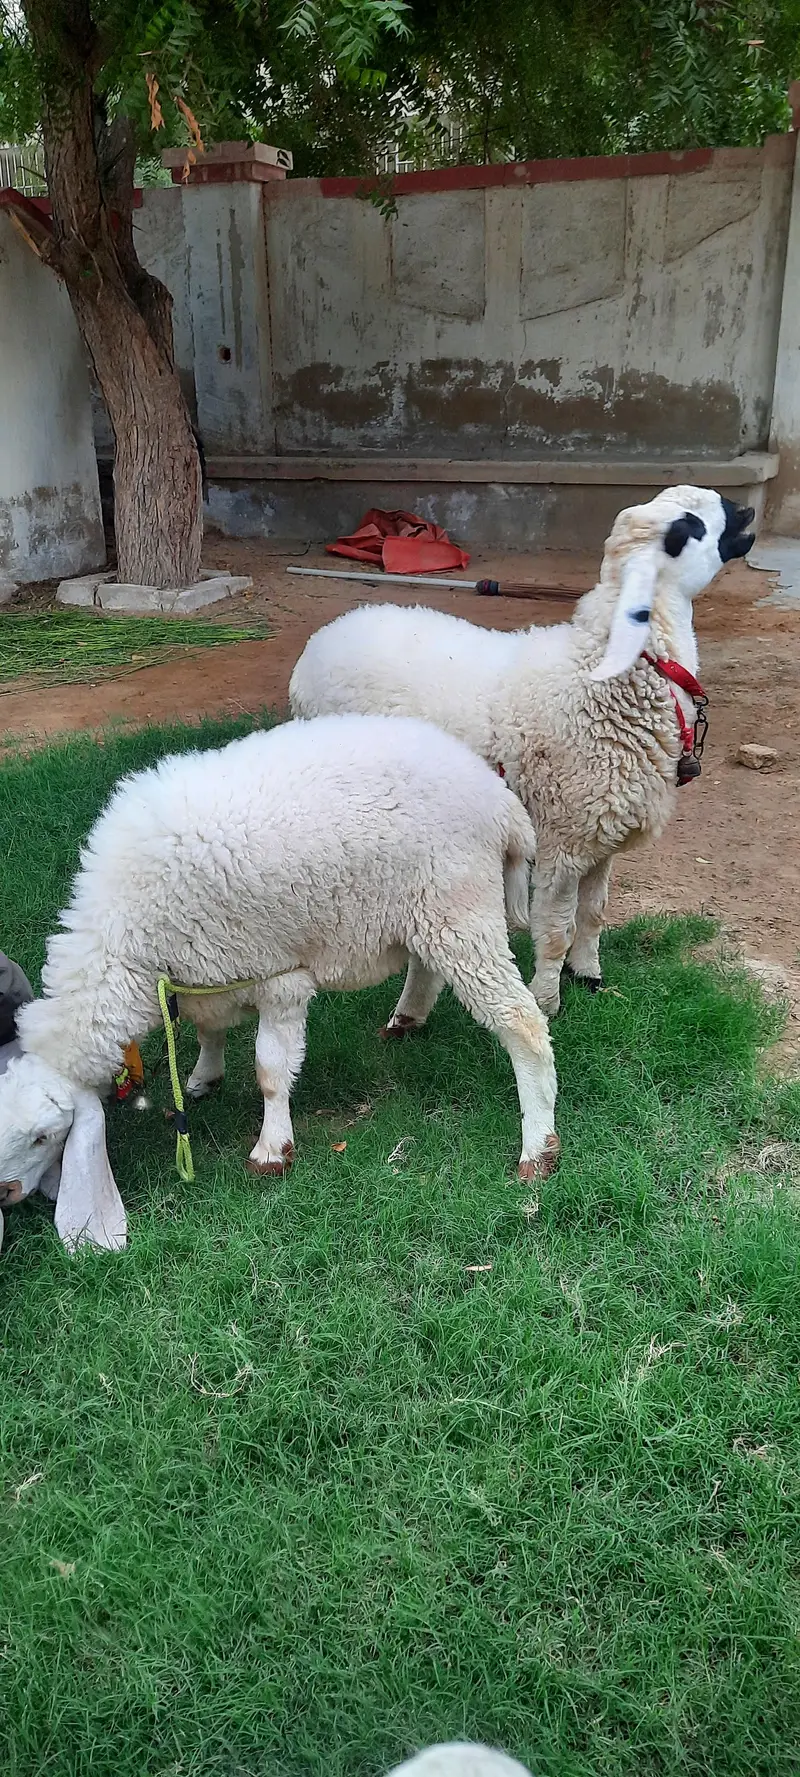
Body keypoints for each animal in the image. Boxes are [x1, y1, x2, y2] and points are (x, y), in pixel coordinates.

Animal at [0, 714, 559, 1253]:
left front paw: (271, 1149)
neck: (125, 941)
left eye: (43, 1137)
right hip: (429, 912)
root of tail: (501, 802)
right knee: (427, 966)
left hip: (460, 907)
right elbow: (208, 1032)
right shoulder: (208, 972)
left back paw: (538, 1148)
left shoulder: (279, 978)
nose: (6, 1194)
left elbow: (270, 1071)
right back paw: (406, 1017)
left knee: (523, 1024)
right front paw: (204, 1076)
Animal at [289, 486, 756, 1016]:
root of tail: (323, 637)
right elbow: (555, 930)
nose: (745, 511)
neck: (601, 675)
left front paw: (589, 974)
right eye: (688, 527)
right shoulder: (563, 839)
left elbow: (594, 914)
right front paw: (548, 999)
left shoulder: (603, 835)